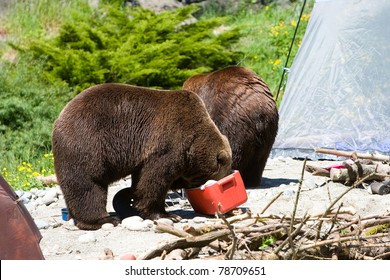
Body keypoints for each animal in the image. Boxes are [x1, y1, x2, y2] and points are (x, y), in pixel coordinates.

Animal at [53, 83, 233, 230]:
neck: (194, 139)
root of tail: (59, 119)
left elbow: (142, 180)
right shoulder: (166, 144)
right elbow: (154, 180)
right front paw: (168, 215)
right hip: (88, 143)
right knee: (88, 185)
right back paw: (103, 220)